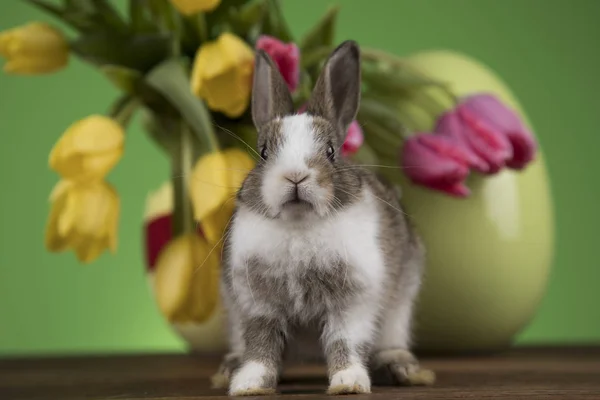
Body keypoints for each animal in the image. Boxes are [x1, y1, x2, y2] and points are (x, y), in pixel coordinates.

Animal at [212, 41, 436, 396]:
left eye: (331, 151)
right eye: (263, 152)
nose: (295, 176)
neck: (299, 225)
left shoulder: (353, 300)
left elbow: (344, 341)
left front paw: (348, 383)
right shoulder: (256, 303)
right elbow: (260, 345)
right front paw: (249, 384)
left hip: (400, 307)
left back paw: (403, 368)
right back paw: (229, 368)